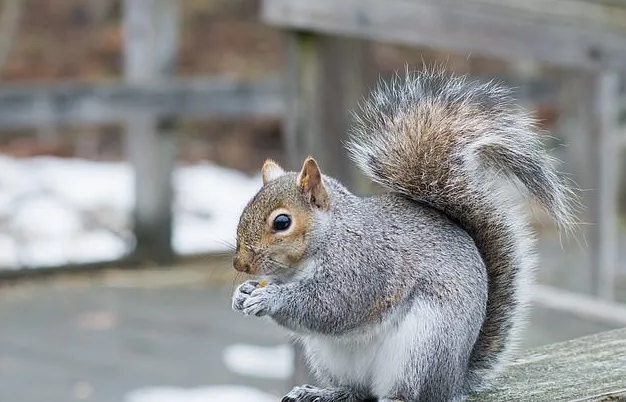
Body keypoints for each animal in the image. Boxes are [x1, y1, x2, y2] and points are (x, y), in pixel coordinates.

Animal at [230, 70, 576, 402]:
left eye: (282, 222)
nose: (240, 265)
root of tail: (454, 380)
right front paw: (243, 293)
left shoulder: (363, 266)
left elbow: (332, 305)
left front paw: (269, 298)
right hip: (330, 357)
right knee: (357, 391)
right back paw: (323, 392)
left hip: (423, 348)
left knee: (409, 392)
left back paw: (395, 398)